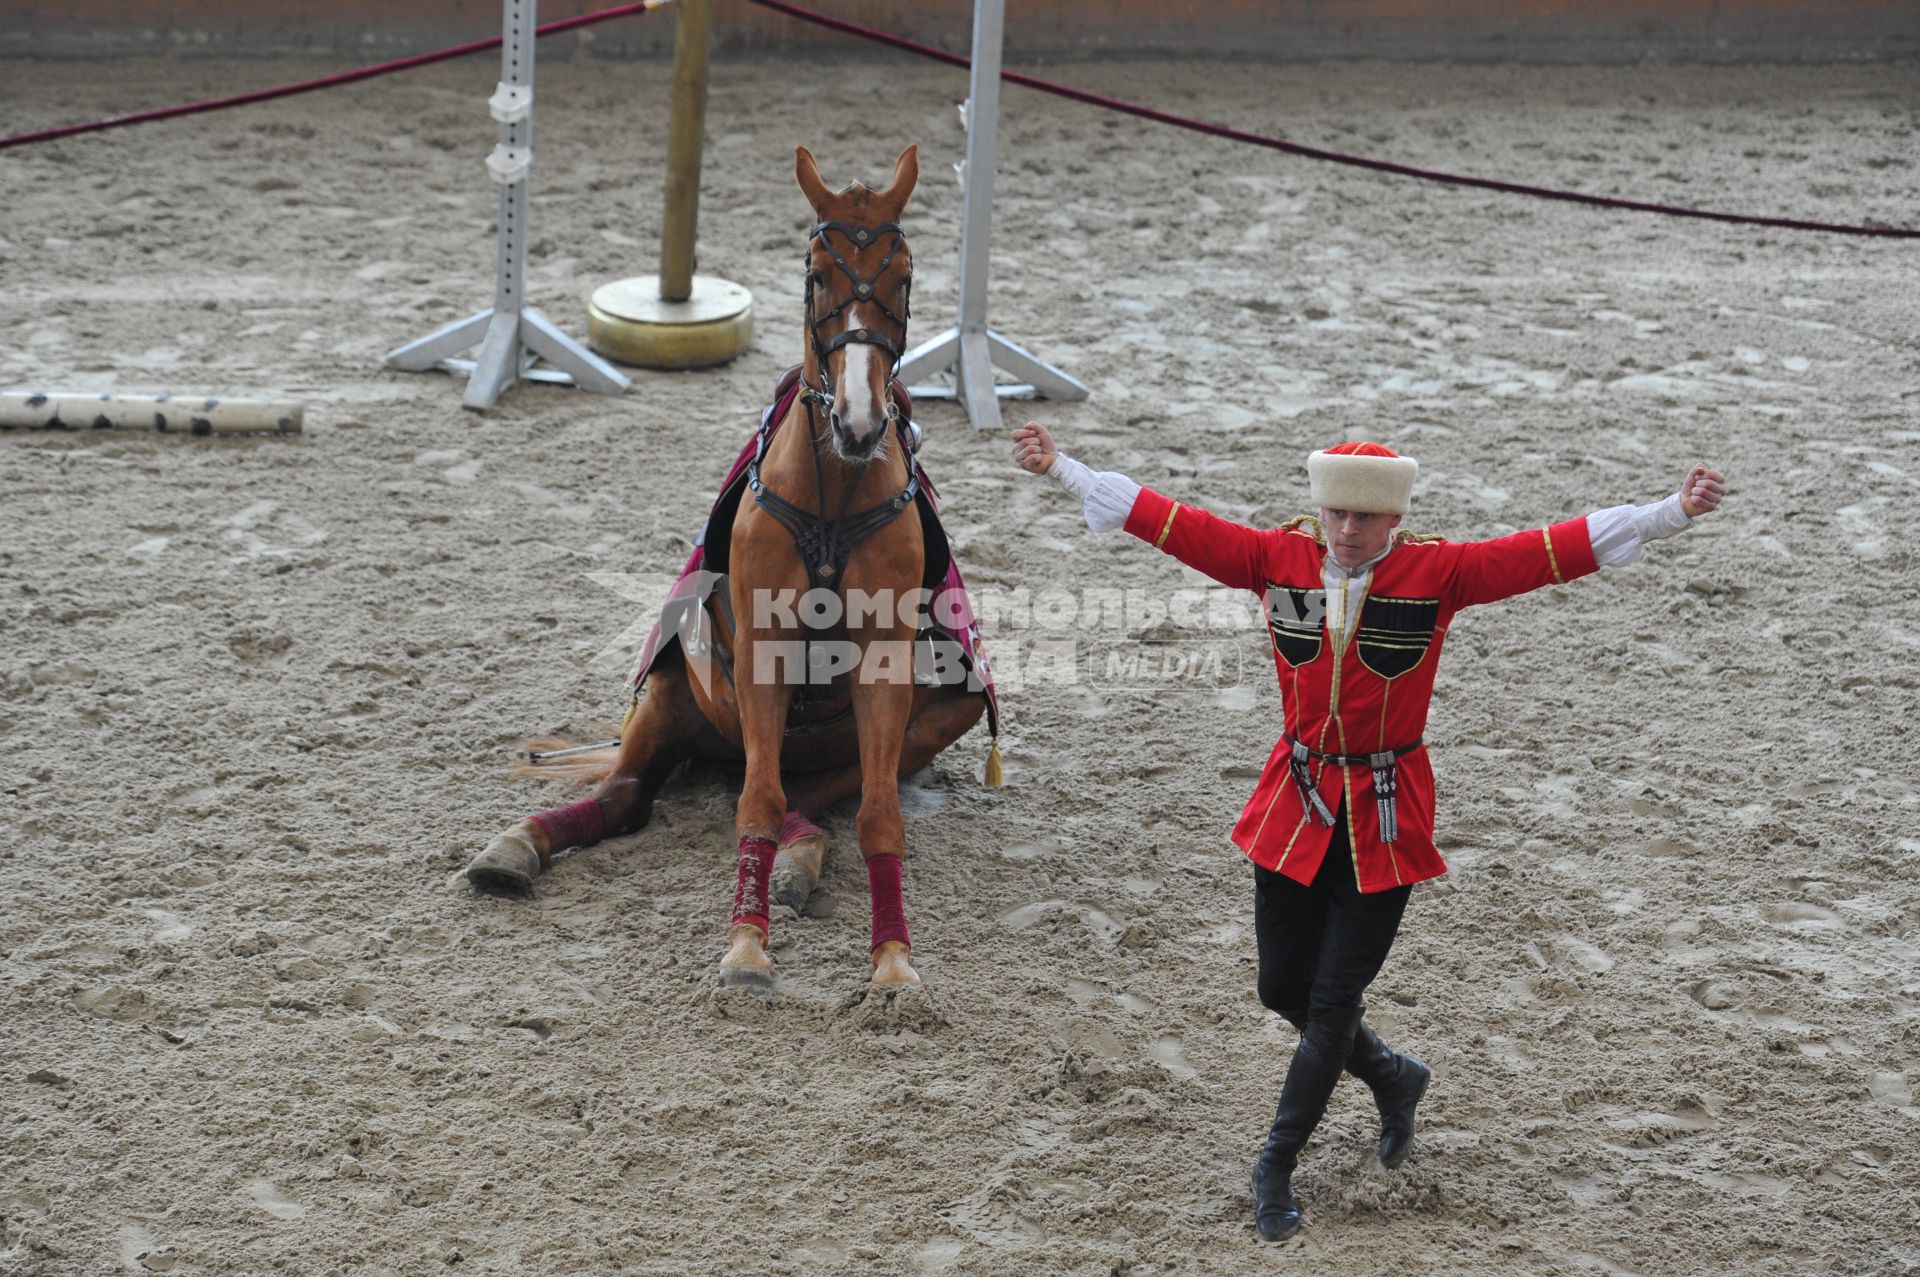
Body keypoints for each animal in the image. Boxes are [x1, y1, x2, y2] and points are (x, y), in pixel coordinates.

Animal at [458, 144, 983, 990]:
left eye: (904, 275)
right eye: (815, 273)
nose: (860, 421)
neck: (834, 493)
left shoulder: (882, 665)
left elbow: (874, 814)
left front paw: (892, 962)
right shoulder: (761, 655)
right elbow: (755, 804)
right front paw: (745, 947)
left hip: (932, 716)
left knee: (807, 799)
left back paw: (801, 861)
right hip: (674, 693)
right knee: (630, 793)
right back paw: (517, 845)